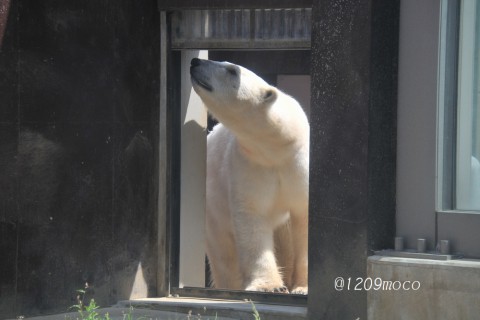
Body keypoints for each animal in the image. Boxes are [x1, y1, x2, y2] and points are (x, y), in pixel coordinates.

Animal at [189, 58, 310, 296]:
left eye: (231, 70)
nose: (196, 61)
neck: (276, 147)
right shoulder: (249, 165)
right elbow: (252, 215)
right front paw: (270, 286)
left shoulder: (298, 164)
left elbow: (303, 216)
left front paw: (302, 288)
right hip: (213, 211)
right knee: (224, 254)